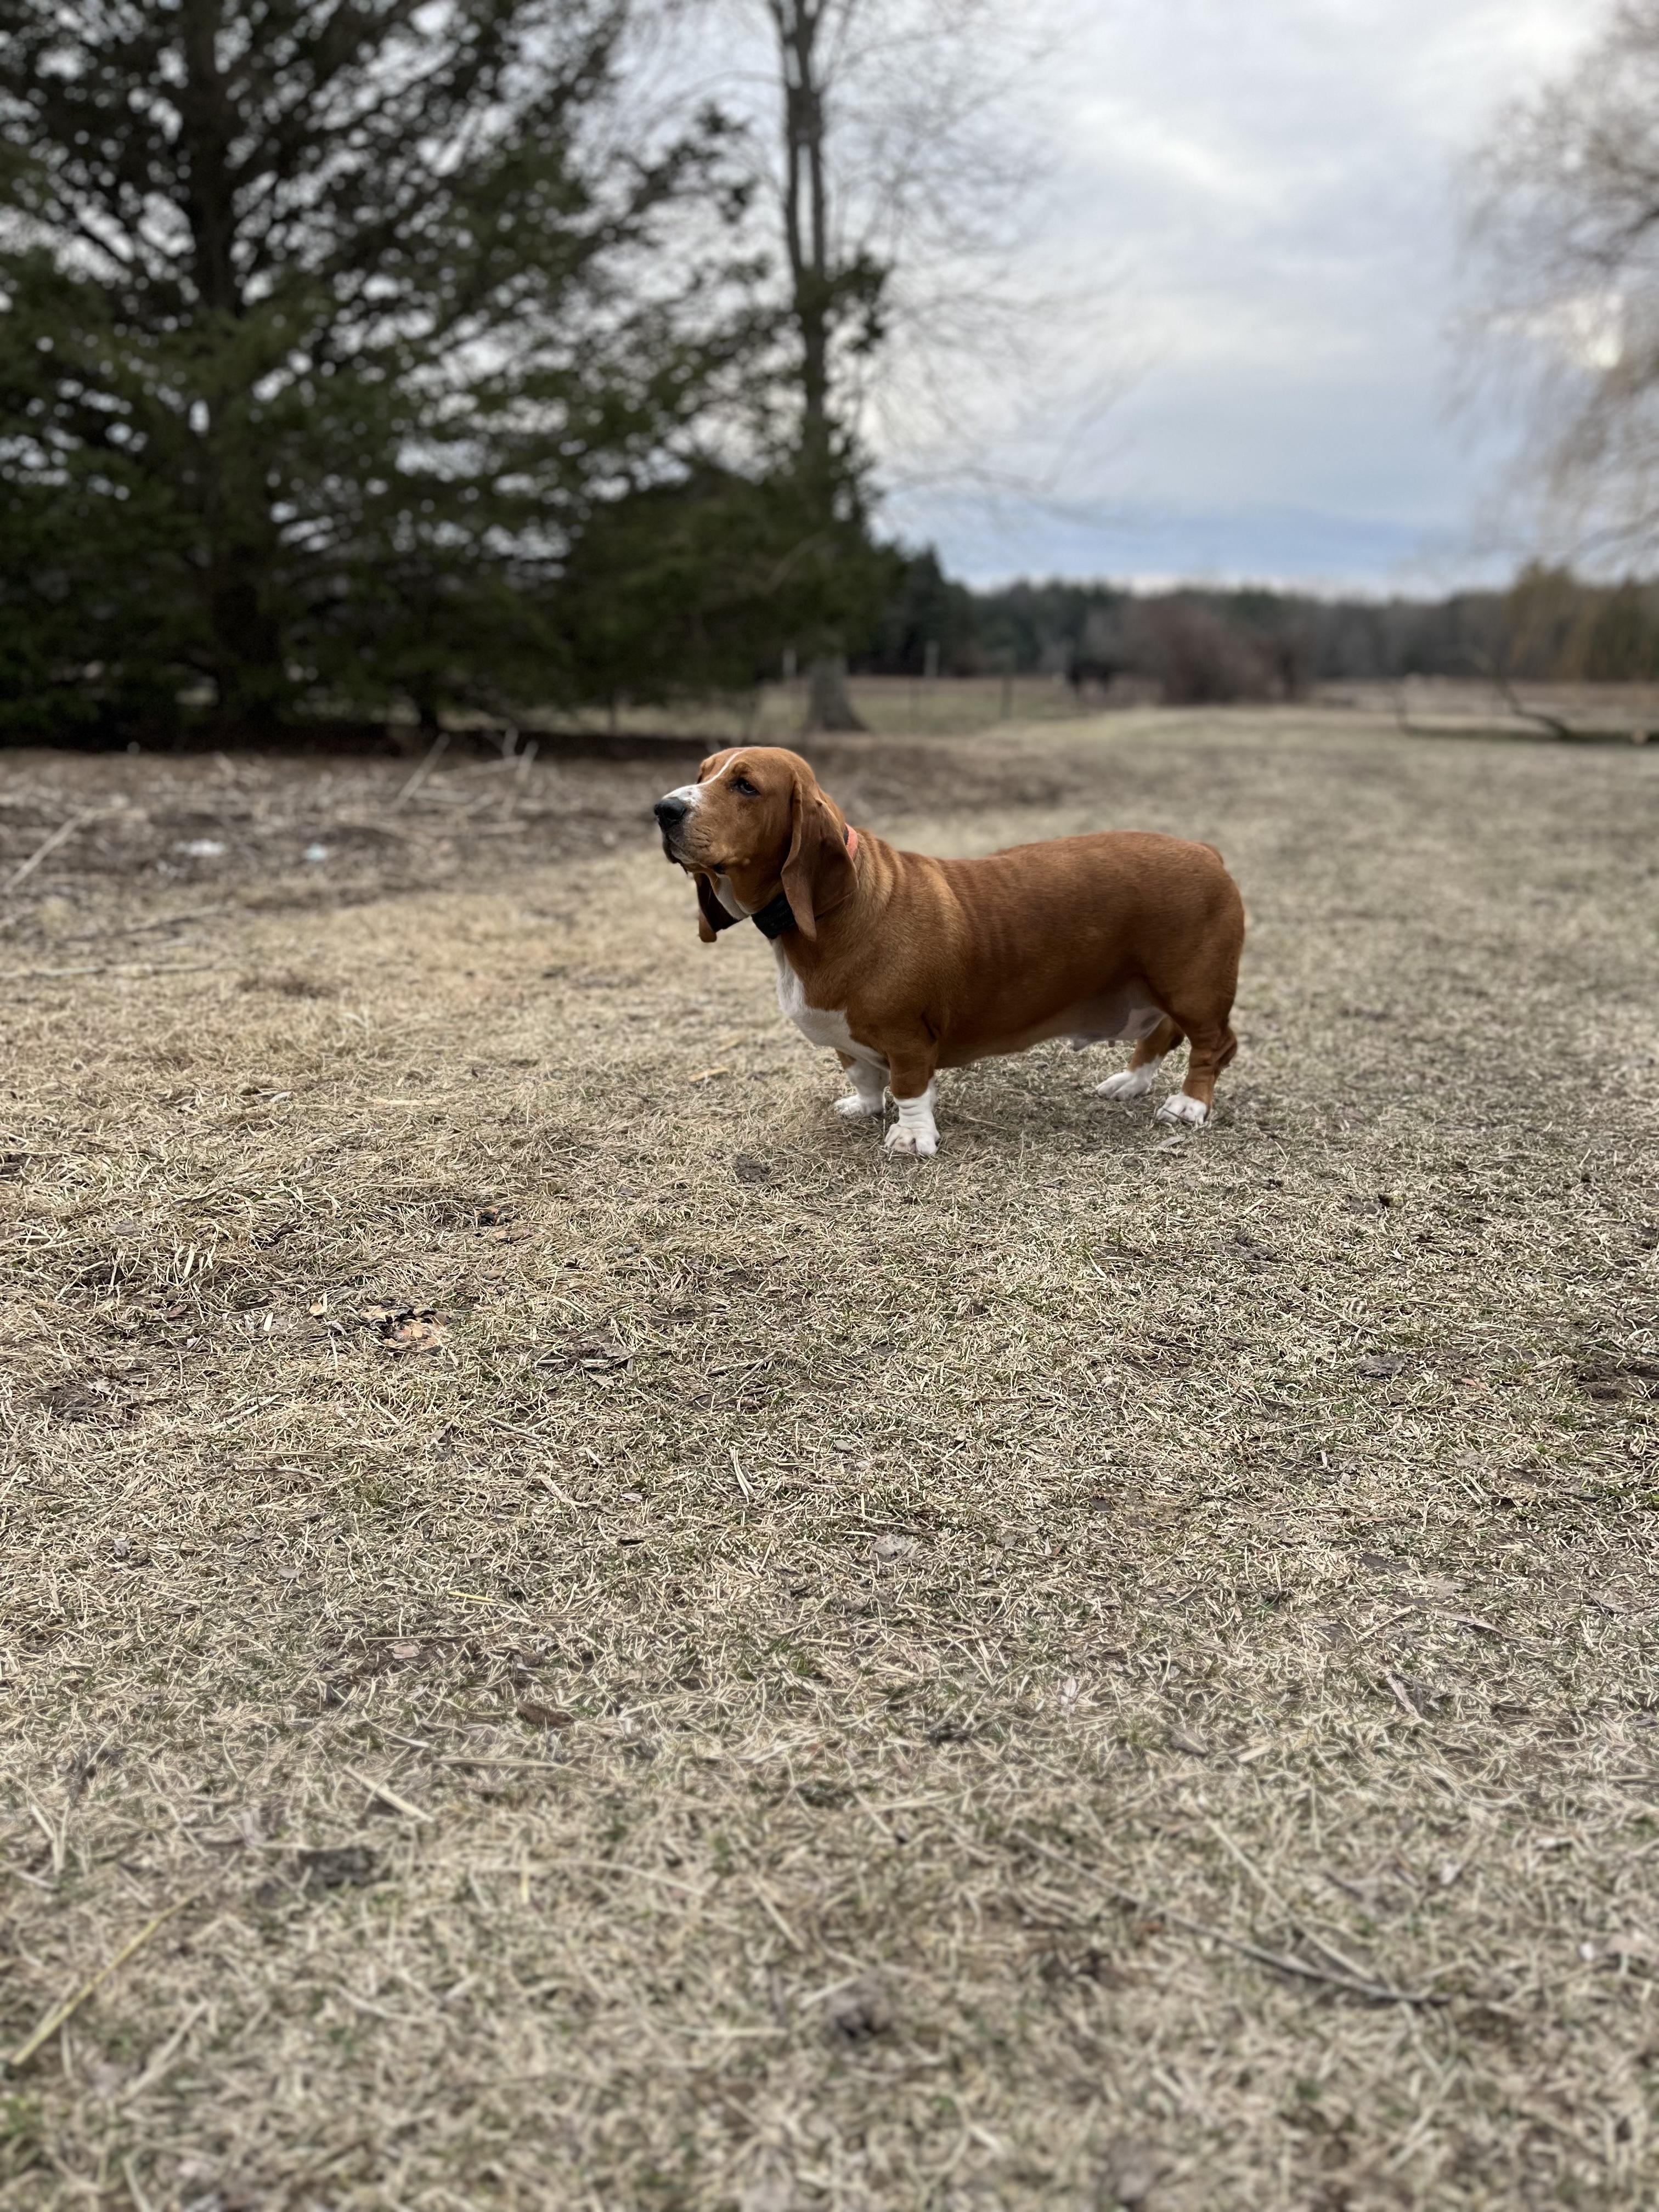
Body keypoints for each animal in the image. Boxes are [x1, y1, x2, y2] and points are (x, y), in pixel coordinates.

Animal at [654, 746, 1243, 1156]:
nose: (663, 809)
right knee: (1161, 1036)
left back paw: (1189, 1104)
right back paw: (1130, 1082)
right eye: (703, 774)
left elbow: (909, 1086)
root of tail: (1208, 853)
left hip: (1192, 989)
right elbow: (864, 1077)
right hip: (1153, 990)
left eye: (746, 786)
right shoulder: (848, 1041)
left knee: (1214, 1045)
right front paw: (864, 1108)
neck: (837, 908)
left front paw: (911, 1138)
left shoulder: (908, 1037)